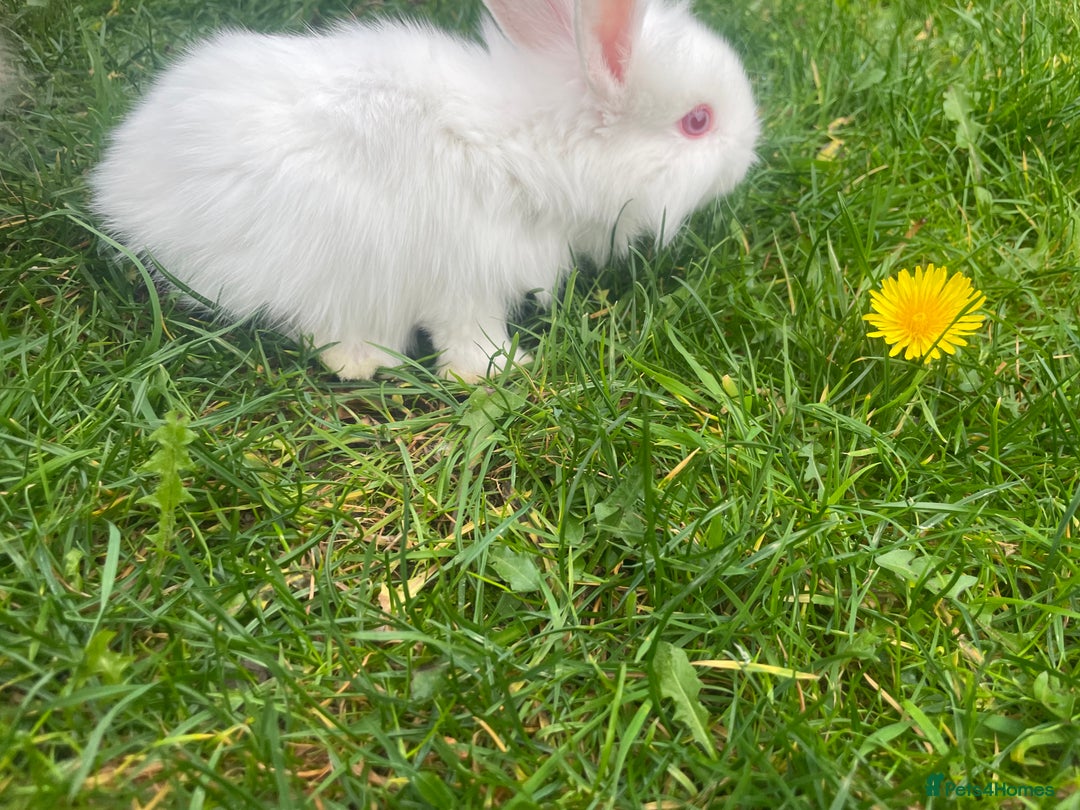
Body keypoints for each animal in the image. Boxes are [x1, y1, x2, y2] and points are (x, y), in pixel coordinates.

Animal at [91, 0, 759, 382]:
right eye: (698, 121)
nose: (750, 152)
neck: (531, 148)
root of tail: (123, 186)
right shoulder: (470, 279)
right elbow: (468, 339)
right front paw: (497, 372)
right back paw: (367, 363)